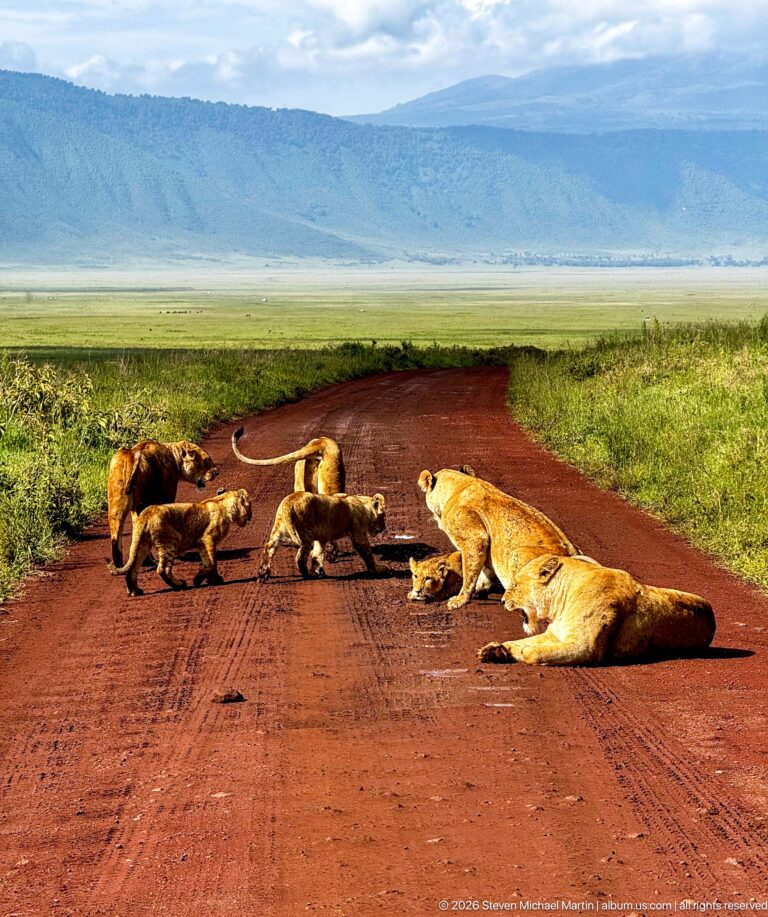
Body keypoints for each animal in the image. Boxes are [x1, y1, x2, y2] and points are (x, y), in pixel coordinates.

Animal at [108, 488, 252, 597]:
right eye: (250, 507)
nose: (251, 518)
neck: (223, 504)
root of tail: (145, 515)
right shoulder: (207, 539)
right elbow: (212, 562)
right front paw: (198, 580)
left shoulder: (201, 544)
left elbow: (209, 562)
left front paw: (214, 580)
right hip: (171, 541)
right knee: (163, 569)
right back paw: (179, 584)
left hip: (143, 544)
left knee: (132, 569)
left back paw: (135, 591)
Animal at [417, 468, 577, 610]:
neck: (461, 484)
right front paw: (482, 587)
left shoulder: (475, 537)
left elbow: (469, 572)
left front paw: (460, 599)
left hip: (517, 554)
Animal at [477, 554, 716, 666]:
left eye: (515, 585)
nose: (501, 601)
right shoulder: (555, 634)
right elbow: (520, 642)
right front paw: (495, 650)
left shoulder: (585, 647)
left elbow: (533, 651)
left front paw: (524, 652)